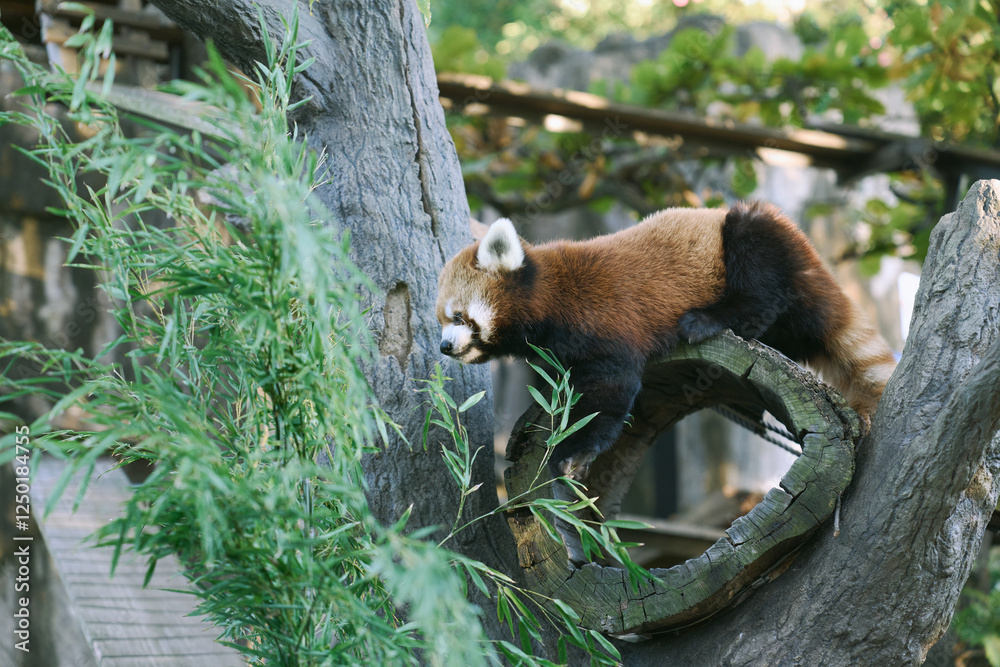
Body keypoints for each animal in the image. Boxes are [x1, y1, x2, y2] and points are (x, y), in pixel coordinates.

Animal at [436, 202, 896, 477]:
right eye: (440, 320)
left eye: (458, 317)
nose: (444, 346)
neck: (549, 297)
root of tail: (814, 264)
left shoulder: (602, 324)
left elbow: (610, 388)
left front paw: (573, 451)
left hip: (755, 236)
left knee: (759, 276)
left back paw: (708, 320)